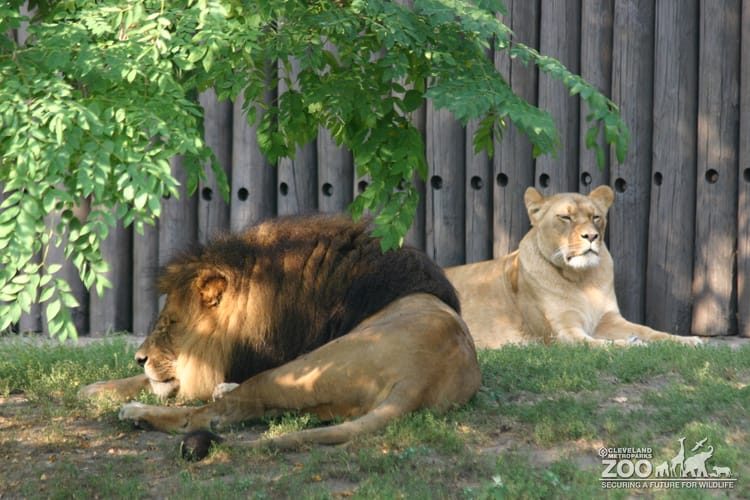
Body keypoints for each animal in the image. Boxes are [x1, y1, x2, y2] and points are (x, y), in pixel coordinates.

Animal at [80, 215, 481, 450]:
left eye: (171, 323)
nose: (140, 357)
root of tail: (421, 378)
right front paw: (96, 387)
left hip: (302, 368)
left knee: (208, 415)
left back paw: (137, 413)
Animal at [445, 185, 702, 347]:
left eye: (595, 217)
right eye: (565, 218)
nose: (591, 236)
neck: (582, 279)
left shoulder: (608, 319)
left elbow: (648, 330)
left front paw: (686, 340)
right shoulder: (563, 333)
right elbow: (603, 345)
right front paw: (632, 345)